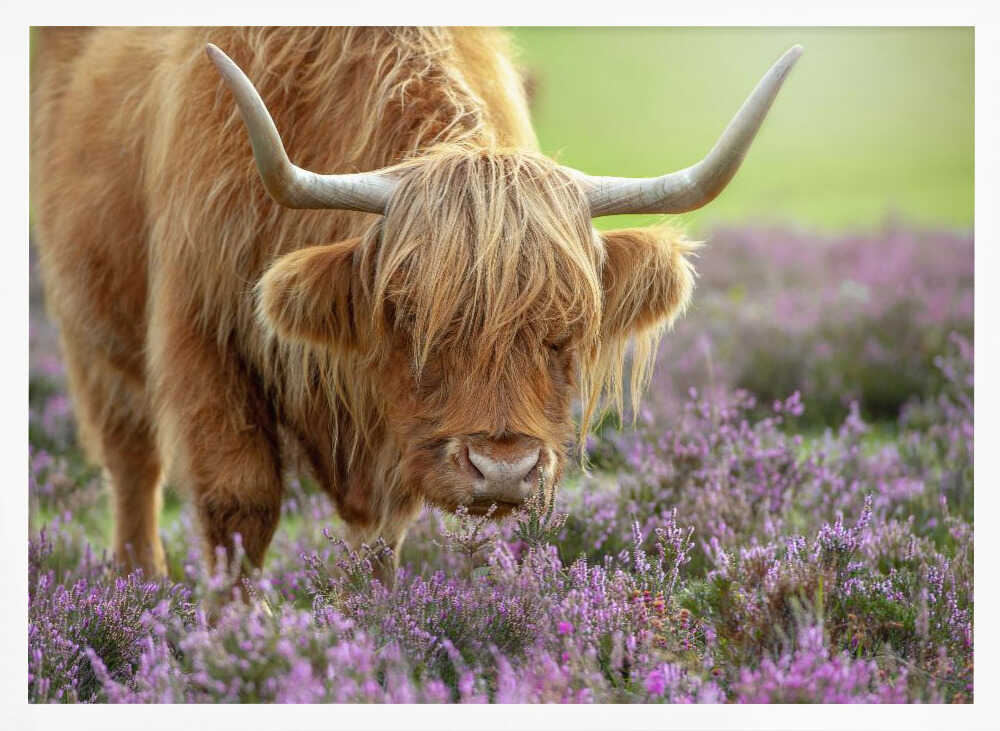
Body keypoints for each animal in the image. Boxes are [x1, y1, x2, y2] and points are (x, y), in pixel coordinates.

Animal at [30, 27, 800, 585]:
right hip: (89, 331)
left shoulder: (390, 434)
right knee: (132, 465)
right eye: (406, 315)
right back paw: (140, 585)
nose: (503, 470)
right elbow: (238, 506)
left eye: (567, 328)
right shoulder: (202, 336)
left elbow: (380, 536)